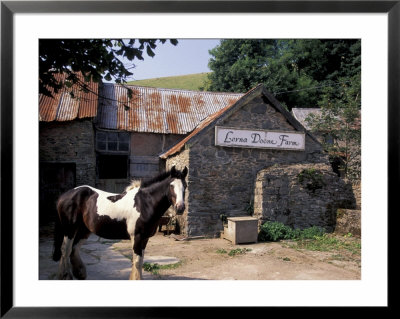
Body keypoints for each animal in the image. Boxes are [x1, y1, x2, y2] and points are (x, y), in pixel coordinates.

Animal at [52, 166, 188, 282]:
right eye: (171, 186)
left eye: (185, 186)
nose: (180, 208)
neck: (144, 203)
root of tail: (64, 196)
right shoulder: (137, 237)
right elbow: (137, 261)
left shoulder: (145, 238)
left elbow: (140, 261)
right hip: (70, 228)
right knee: (65, 249)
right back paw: (66, 276)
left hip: (84, 229)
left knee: (74, 248)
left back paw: (79, 273)